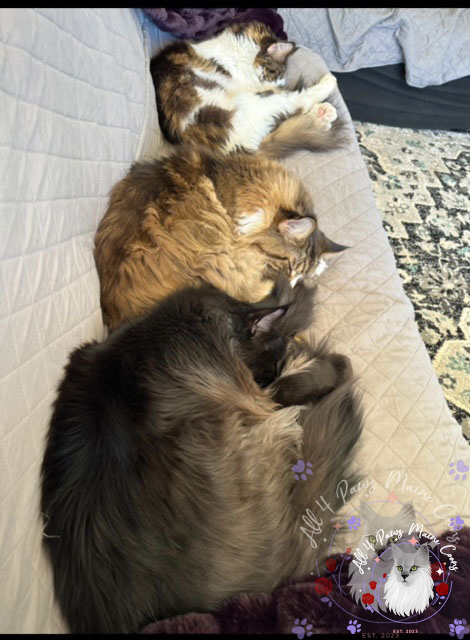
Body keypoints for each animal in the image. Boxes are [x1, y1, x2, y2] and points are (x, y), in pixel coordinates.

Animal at [150, 21, 342, 158]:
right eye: (272, 75)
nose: (274, 87)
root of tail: (232, 150)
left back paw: (323, 116)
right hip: (255, 102)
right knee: (298, 102)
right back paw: (329, 85)